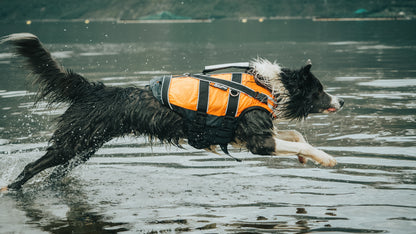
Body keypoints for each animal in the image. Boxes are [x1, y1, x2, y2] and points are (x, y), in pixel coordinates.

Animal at [1, 33, 342, 191]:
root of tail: (94, 88)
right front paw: (324, 158)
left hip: (85, 147)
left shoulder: (249, 135)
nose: (340, 102)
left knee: (55, 173)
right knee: (32, 166)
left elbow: (295, 135)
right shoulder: (258, 142)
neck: (269, 86)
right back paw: (12, 187)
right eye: (319, 90)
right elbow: (302, 142)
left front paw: (305, 157)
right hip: (72, 143)